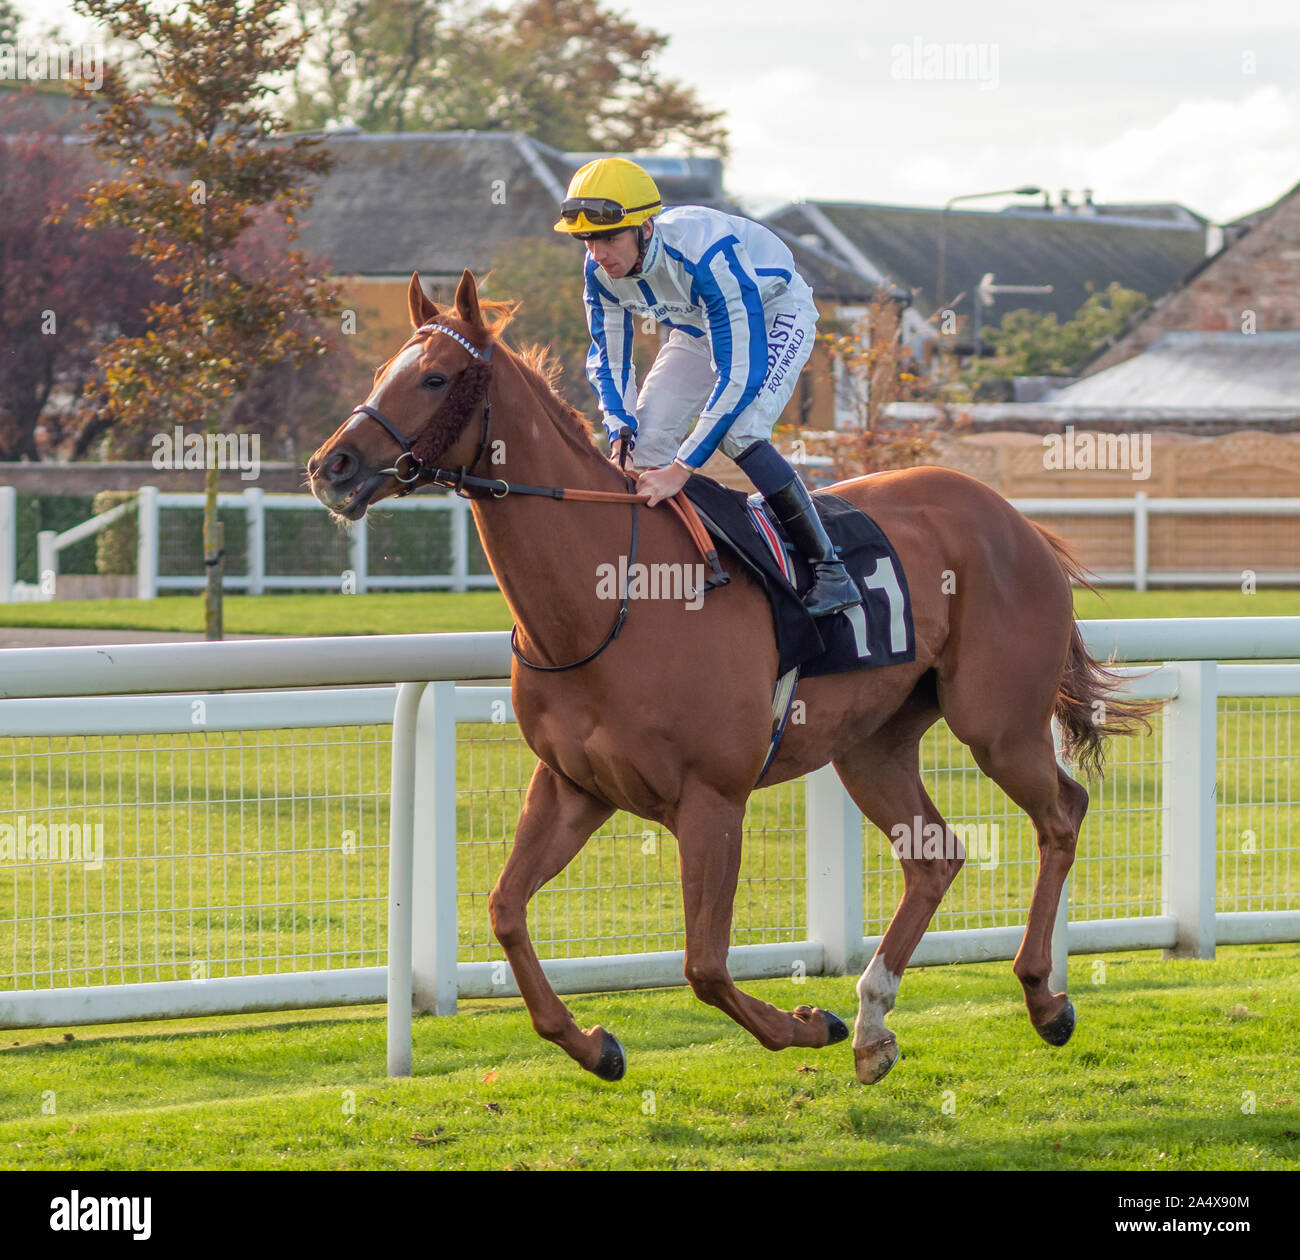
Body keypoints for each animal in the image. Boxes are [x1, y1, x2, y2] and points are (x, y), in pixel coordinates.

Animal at [309, 270, 1144, 1087]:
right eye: (381, 372)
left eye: (435, 377)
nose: (330, 467)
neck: (609, 596)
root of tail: (1017, 520)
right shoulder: (572, 787)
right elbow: (504, 910)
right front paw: (594, 1045)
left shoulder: (712, 799)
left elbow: (705, 966)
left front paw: (807, 1023)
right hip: (871, 745)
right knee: (934, 853)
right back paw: (873, 1022)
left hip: (995, 724)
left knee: (1062, 813)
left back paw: (1042, 997)